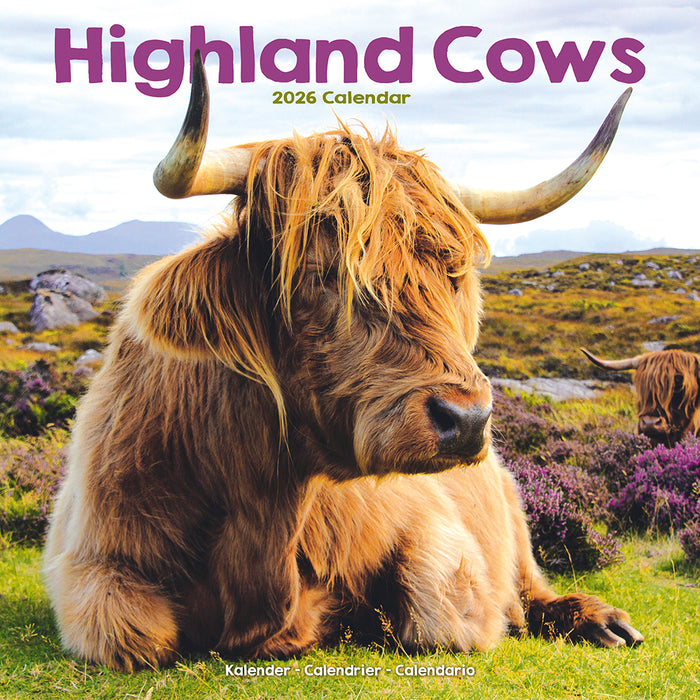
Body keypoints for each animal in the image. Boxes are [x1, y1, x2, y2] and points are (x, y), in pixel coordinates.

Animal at [43, 51, 642, 672]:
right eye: (321, 273)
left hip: (510, 504)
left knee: (529, 586)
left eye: (452, 273)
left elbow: (439, 617)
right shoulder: (91, 562)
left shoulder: (437, 531)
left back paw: (601, 620)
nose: (468, 419)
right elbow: (139, 633)